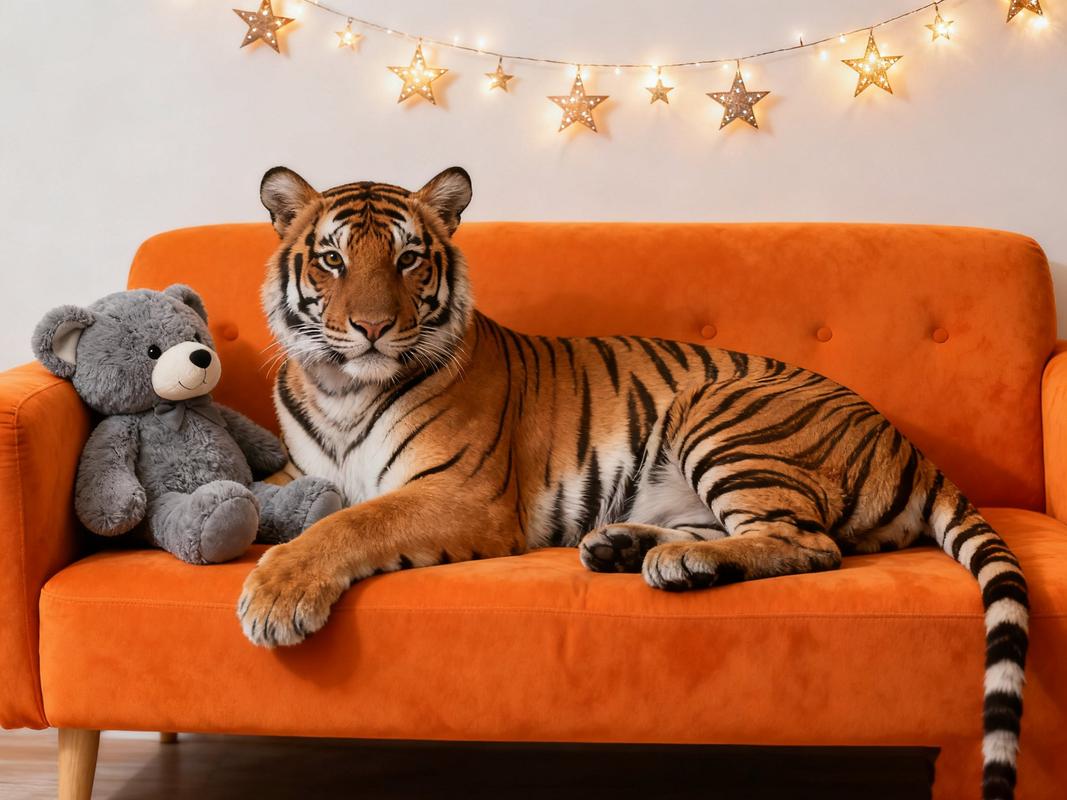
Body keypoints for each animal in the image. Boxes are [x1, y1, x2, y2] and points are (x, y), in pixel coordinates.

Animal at [238, 165, 1029, 800]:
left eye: (407, 259)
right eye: (333, 260)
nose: (371, 328)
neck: (342, 390)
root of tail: (906, 440)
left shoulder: (462, 495)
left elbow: (352, 522)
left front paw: (276, 596)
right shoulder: (298, 470)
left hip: (720, 415)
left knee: (806, 543)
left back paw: (677, 562)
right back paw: (624, 547)